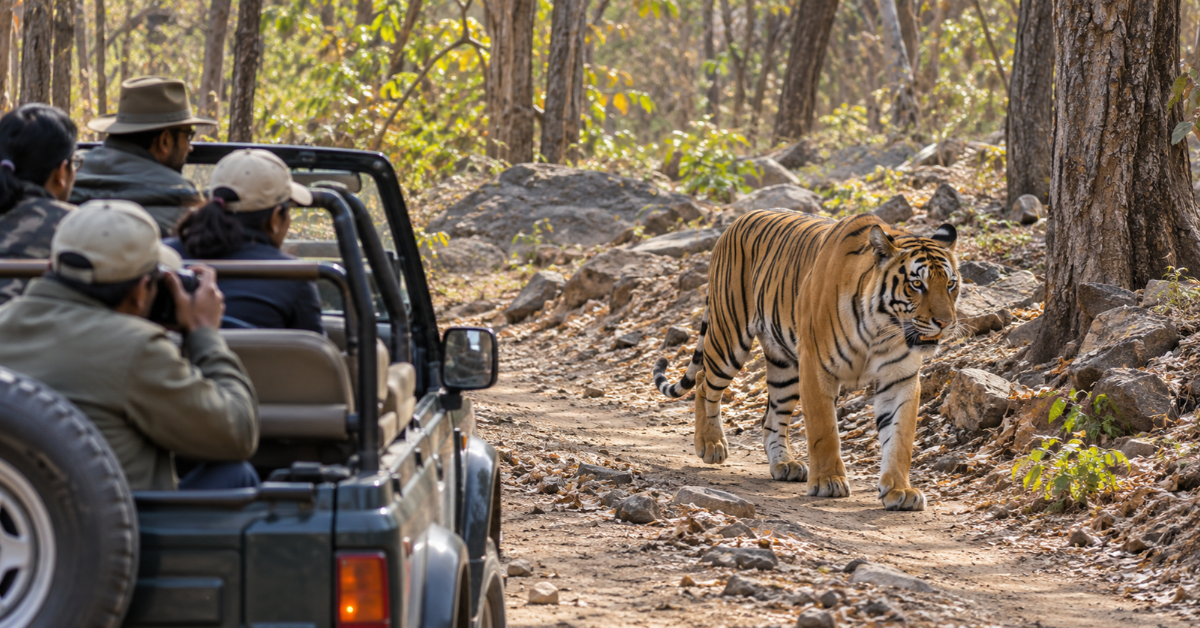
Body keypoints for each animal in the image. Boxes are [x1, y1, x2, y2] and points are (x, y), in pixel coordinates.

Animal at [652, 210, 960, 511]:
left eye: (951, 284)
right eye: (916, 284)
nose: (945, 323)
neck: (882, 329)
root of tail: (736, 220)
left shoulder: (899, 377)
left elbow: (900, 437)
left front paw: (900, 490)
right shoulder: (816, 365)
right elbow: (824, 429)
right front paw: (828, 481)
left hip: (784, 366)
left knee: (771, 416)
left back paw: (784, 464)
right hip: (729, 338)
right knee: (704, 382)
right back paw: (710, 444)